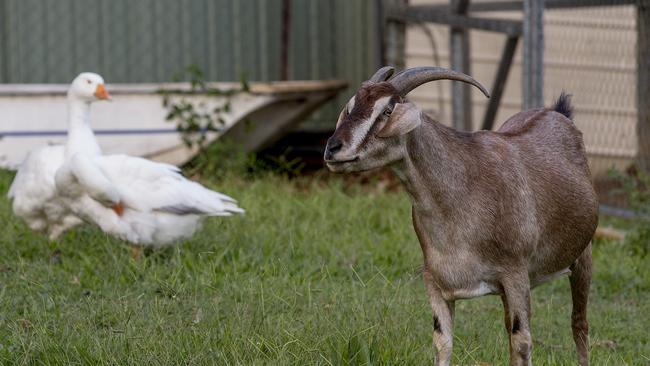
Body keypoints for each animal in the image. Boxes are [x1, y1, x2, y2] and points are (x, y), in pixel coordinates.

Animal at [324, 66, 596, 366]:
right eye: (351, 106)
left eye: (387, 109)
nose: (333, 148)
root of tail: (558, 112)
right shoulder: (435, 281)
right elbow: (442, 343)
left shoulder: (516, 274)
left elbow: (522, 341)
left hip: (582, 257)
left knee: (579, 324)